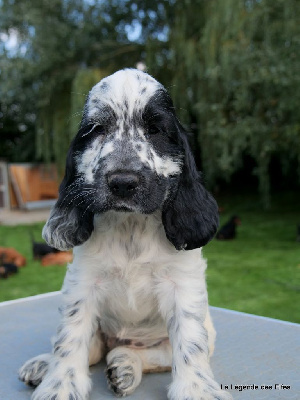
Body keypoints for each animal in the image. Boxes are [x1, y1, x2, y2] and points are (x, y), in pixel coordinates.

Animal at [18, 69, 232, 400]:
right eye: (96, 129)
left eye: (155, 129)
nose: (122, 182)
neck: (130, 225)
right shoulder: (83, 282)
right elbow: (70, 337)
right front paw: (61, 385)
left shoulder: (182, 285)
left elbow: (189, 342)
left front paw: (197, 390)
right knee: (88, 349)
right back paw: (44, 365)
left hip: (190, 339)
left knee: (150, 356)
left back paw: (124, 364)